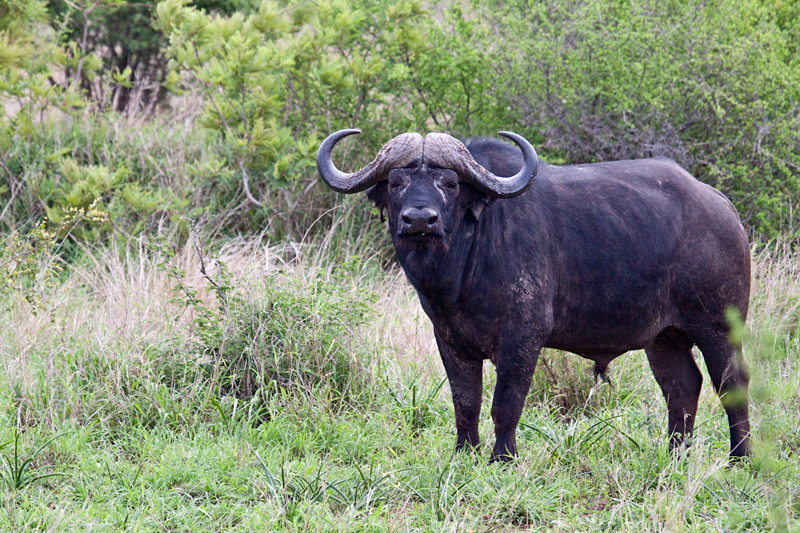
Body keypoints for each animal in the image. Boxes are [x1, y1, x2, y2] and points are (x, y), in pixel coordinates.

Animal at [314, 129, 752, 462]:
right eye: (396, 182)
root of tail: (721, 206)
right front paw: (464, 454)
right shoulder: (450, 341)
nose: (420, 219)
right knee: (682, 386)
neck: (463, 271)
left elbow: (506, 403)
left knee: (732, 383)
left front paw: (502, 458)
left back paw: (739, 458)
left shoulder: (522, 339)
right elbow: (465, 402)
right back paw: (675, 455)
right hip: (663, 337)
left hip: (718, 327)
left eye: (449, 184)